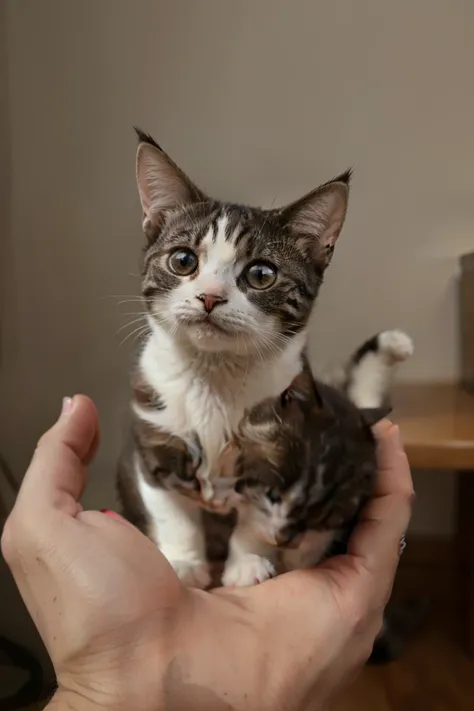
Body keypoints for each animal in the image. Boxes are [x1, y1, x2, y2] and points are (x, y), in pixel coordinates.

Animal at [116, 128, 350, 588]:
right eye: (183, 260)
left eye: (261, 274)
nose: (210, 296)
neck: (214, 377)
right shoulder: (152, 438)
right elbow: (171, 511)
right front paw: (183, 561)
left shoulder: (280, 441)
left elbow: (257, 513)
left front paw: (247, 564)